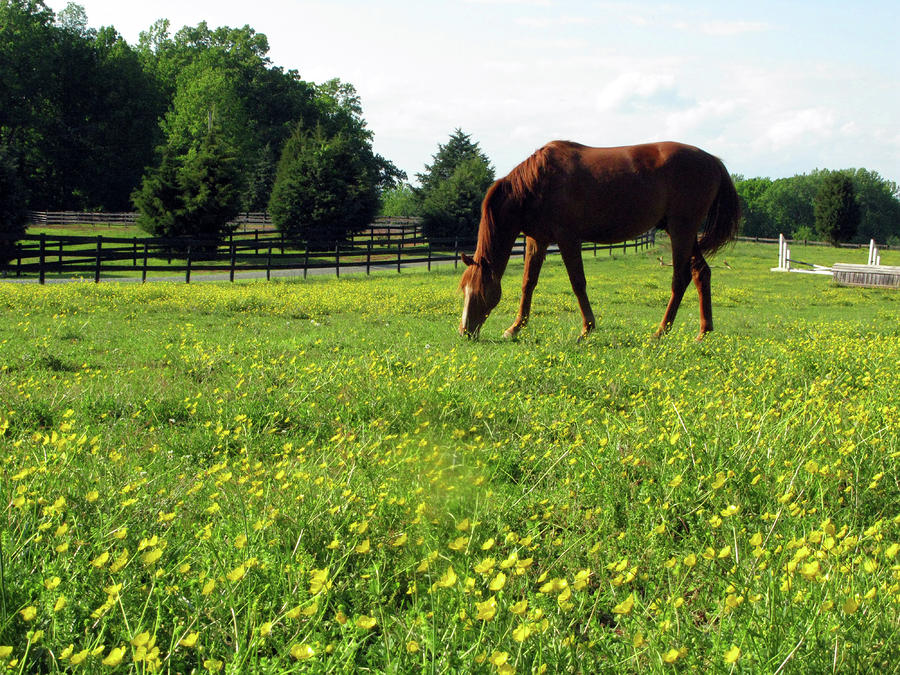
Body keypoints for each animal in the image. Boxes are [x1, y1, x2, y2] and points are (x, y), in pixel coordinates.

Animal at [458, 140, 741, 341]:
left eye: (479, 291)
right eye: (464, 290)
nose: (464, 331)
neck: (535, 184)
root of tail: (713, 161)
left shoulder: (567, 238)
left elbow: (578, 283)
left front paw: (587, 329)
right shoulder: (537, 240)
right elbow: (528, 283)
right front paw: (515, 328)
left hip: (682, 229)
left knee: (680, 278)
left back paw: (660, 331)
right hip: (683, 232)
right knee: (701, 273)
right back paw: (703, 332)